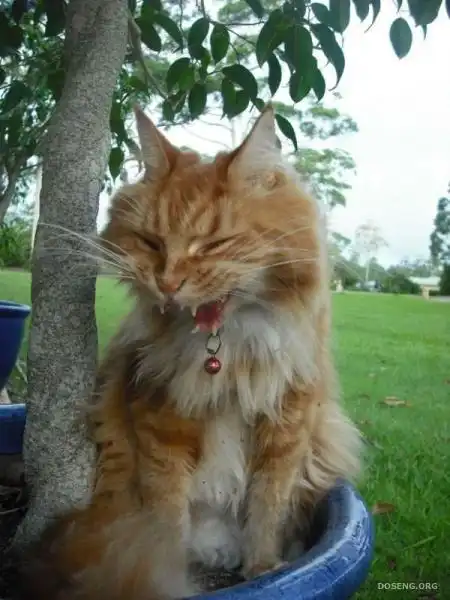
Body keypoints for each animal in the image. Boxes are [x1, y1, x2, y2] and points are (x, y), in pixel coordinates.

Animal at [21, 104, 361, 600]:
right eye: (151, 242)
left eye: (213, 245)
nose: (167, 282)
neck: (229, 349)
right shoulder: (160, 424)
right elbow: (168, 520)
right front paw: (171, 578)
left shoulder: (287, 421)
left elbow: (268, 508)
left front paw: (264, 570)